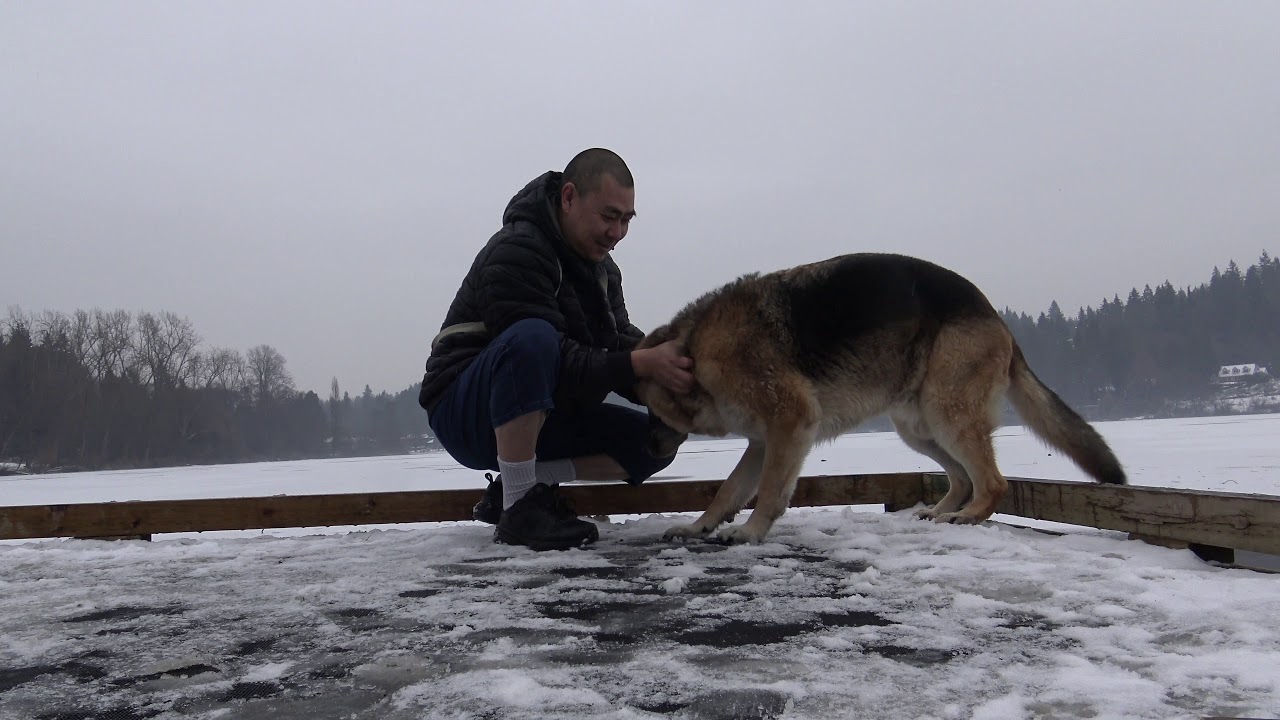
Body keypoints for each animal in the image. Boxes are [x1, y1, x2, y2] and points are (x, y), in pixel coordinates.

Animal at [634, 254, 1126, 540]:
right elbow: (729, 489)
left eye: (652, 413)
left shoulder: (789, 425)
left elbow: (770, 490)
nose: (648, 451)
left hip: (945, 413)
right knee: (961, 477)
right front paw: (700, 524)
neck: (697, 349)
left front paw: (751, 532)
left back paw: (966, 517)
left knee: (992, 482)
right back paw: (940, 510)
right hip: (918, 428)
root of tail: (996, 316)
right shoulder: (763, 440)